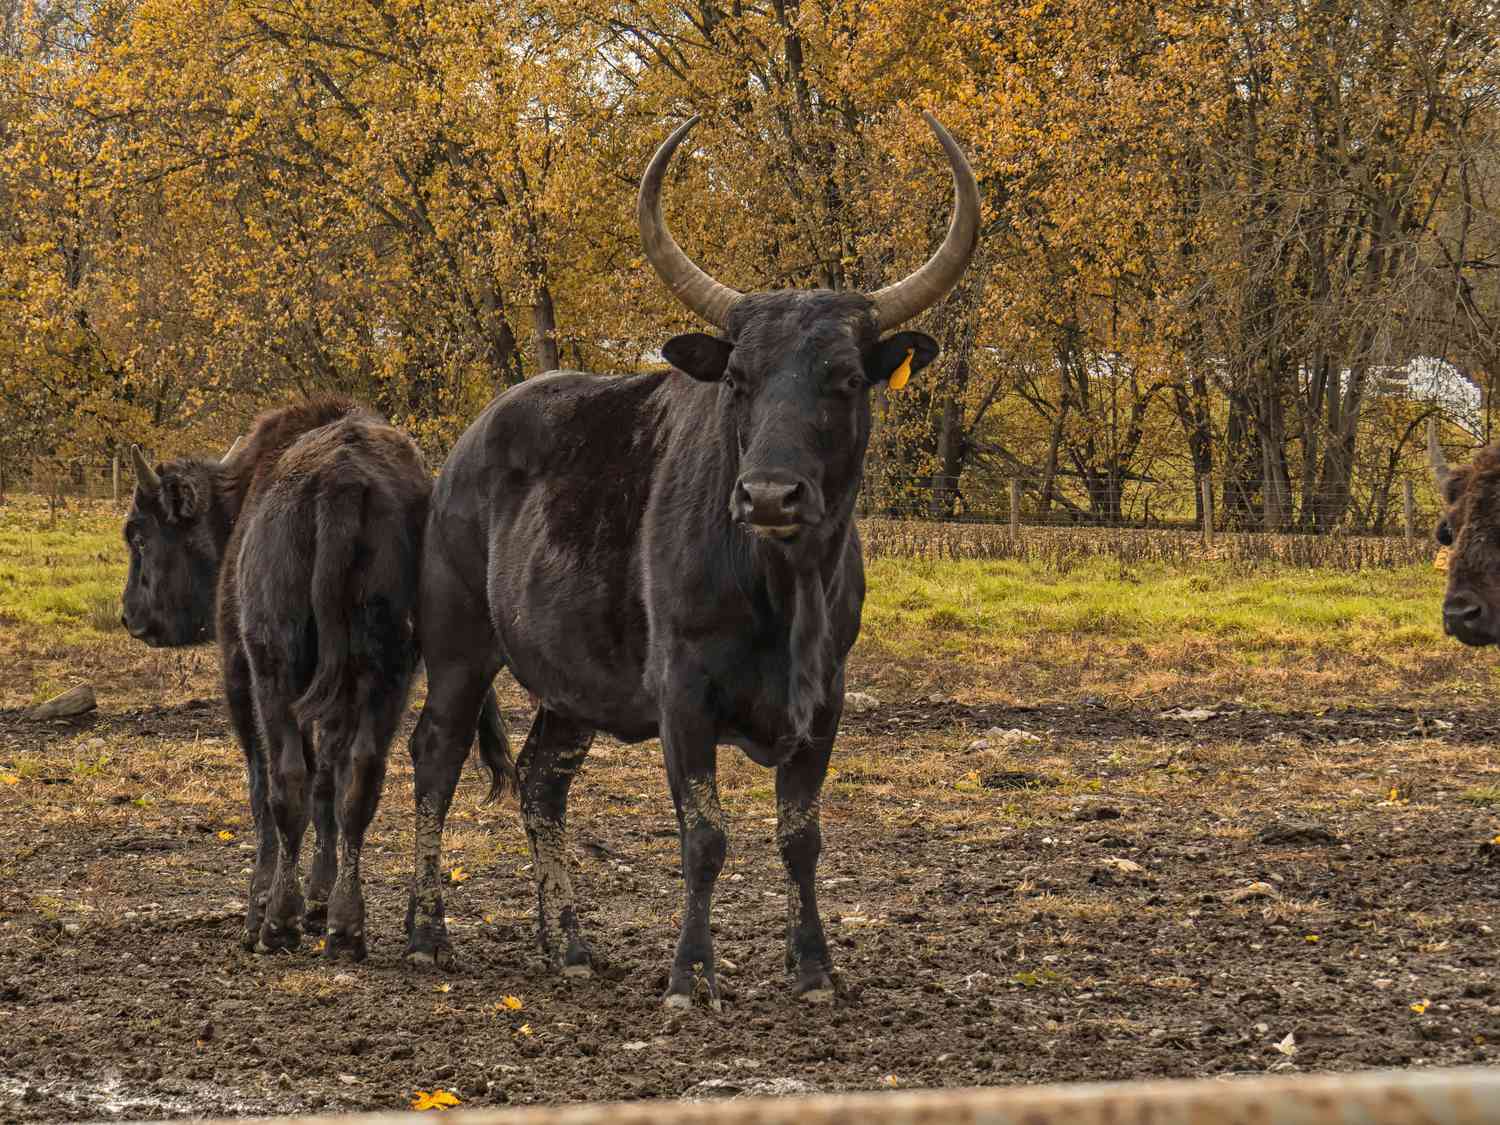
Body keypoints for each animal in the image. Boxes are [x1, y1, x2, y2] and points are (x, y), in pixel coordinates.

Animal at [124, 402, 510, 966]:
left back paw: (277, 924)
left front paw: (261, 906)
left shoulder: (240, 673)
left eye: (139, 535)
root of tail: (341, 481)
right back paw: (347, 927)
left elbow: (266, 787)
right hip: (386, 670)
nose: (131, 615)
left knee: (287, 780)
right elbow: (330, 779)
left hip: (275, 667)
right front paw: (320, 900)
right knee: (360, 779)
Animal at [402, 112, 984, 1014]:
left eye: (846, 378)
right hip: (458, 643)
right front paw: (689, 974)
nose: (771, 493)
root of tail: (468, 444)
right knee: (436, 757)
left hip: (573, 685)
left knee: (541, 782)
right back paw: (427, 934)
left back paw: (568, 944)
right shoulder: (682, 694)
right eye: (739, 378)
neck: (783, 594)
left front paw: (814, 967)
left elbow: (801, 836)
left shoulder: (827, 700)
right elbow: (705, 836)